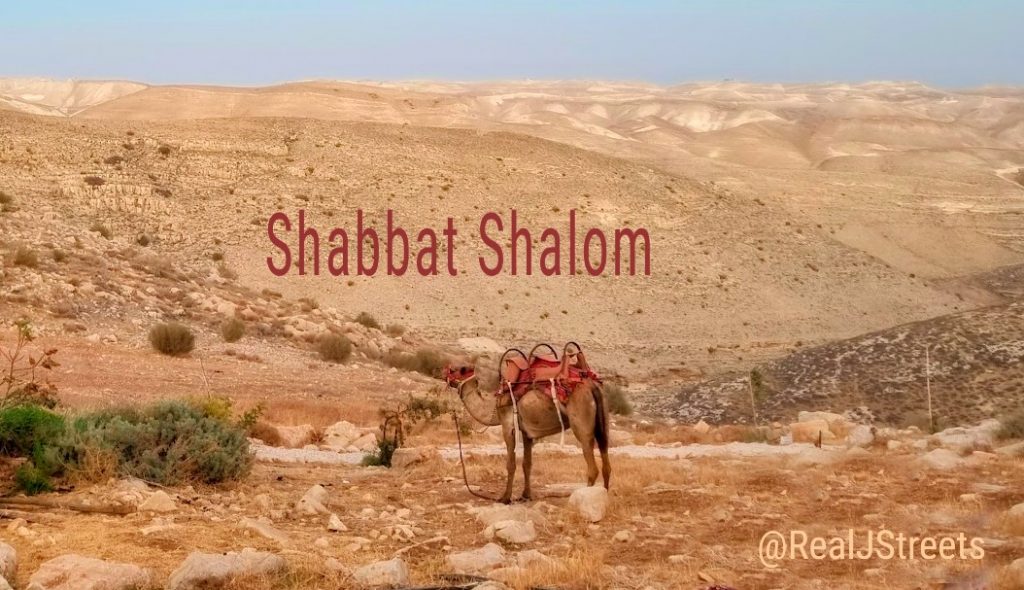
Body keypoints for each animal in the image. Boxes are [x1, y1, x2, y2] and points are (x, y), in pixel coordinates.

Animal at [443, 362, 610, 504]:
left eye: (458, 369)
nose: (443, 372)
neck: (494, 404)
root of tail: (592, 386)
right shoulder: (527, 433)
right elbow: (527, 464)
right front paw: (525, 495)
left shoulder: (508, 426)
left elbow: (511, 464)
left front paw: (505, 498)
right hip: (602, 420)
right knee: (605, 459)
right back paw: (604, 496)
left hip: (582, 422)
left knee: (592, 466)